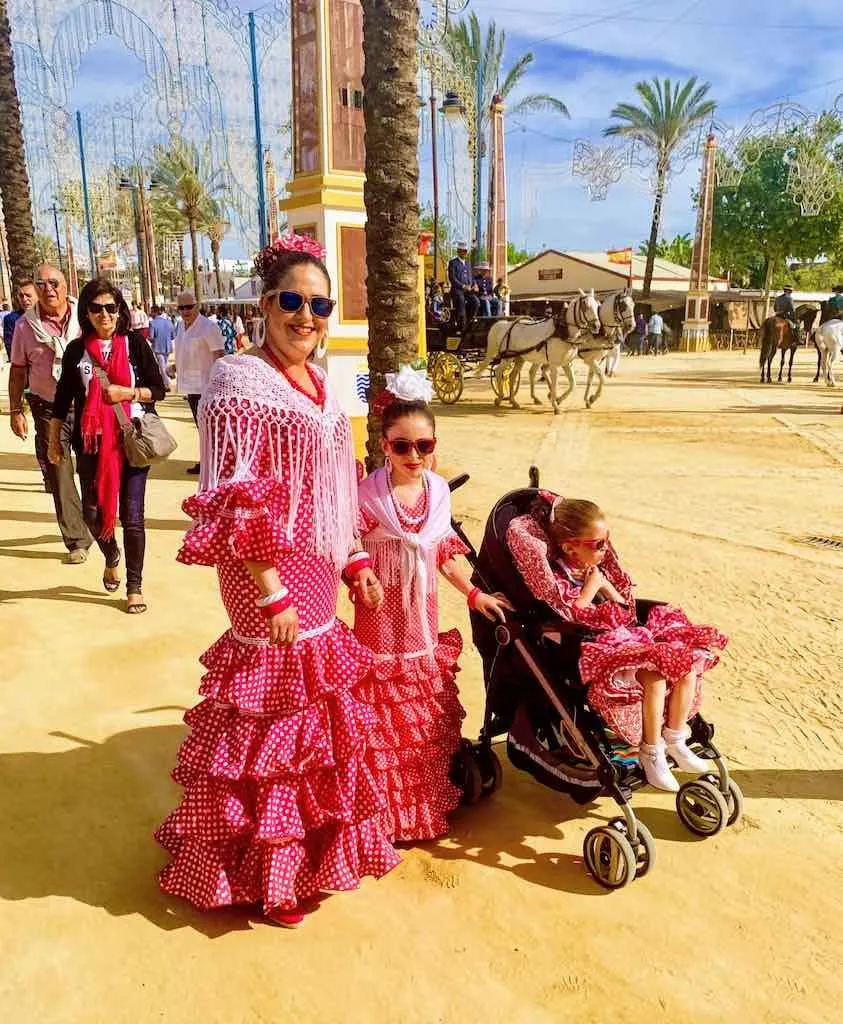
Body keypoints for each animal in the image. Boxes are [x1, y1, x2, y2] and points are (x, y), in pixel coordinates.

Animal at [475, 290, 606, 413]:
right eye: (585, 306)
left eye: (597, 306)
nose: (596, 326)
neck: (562, 331)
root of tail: (505, 325)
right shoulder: (554, 364)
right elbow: (555, 383)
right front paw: (556, 405)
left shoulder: (566, 363)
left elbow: (573, 384)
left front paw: (559, 400)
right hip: (507, 357)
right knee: (499, 372)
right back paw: (500, 398)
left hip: (519, 358)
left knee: (512, 376)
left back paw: (513, 401)